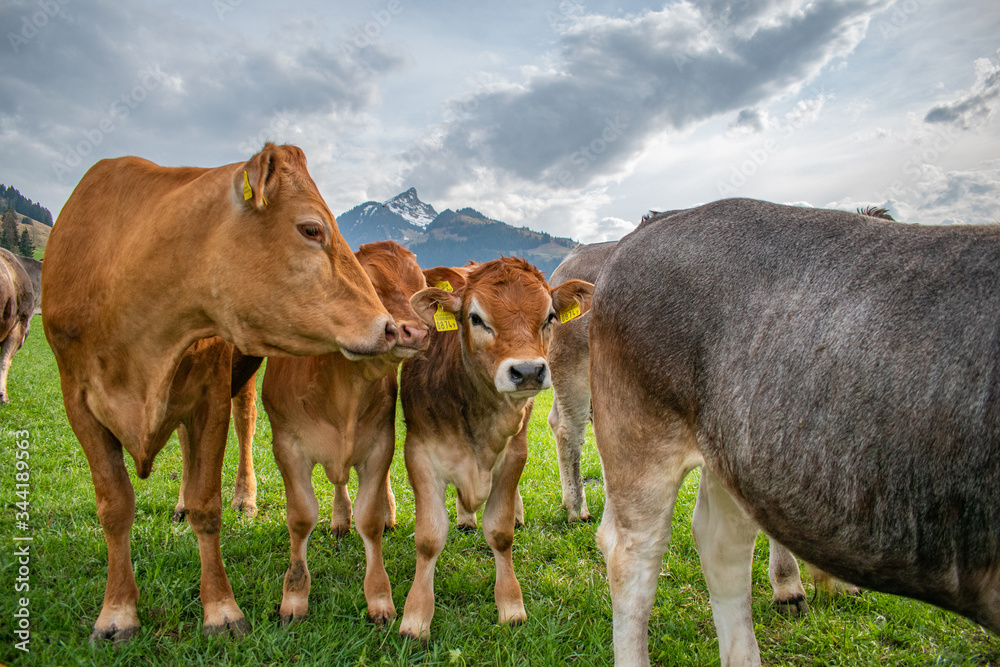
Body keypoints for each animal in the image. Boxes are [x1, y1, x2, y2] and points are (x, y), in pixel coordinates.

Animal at [42, 143, 396, 642]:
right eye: (311, 229)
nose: (388, 327)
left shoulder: (209, 394)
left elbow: (207, 504)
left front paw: (221, 610)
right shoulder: (78, 401)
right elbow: (114, 506)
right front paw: (116, 613)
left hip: (238, 378)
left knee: (244, 426)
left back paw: (244, 498)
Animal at [261, 240, 429, 626]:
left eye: (419, 288)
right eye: (368, 283)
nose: (416, 332)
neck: (344, 388)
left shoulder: (381, 444)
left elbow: (369, 519)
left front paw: (380, 599)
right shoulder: (287, 447)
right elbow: (301, 517)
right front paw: (294, 599)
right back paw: (339, 520)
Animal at [397, 257, 594, 640]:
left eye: (550, 316)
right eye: (475, 318)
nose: (528, 371)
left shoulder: (514, 453)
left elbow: (500, 533)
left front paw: (511, 604)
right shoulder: (418, 453)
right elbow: (429, 538)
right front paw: (415, 616)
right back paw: (465, 518)